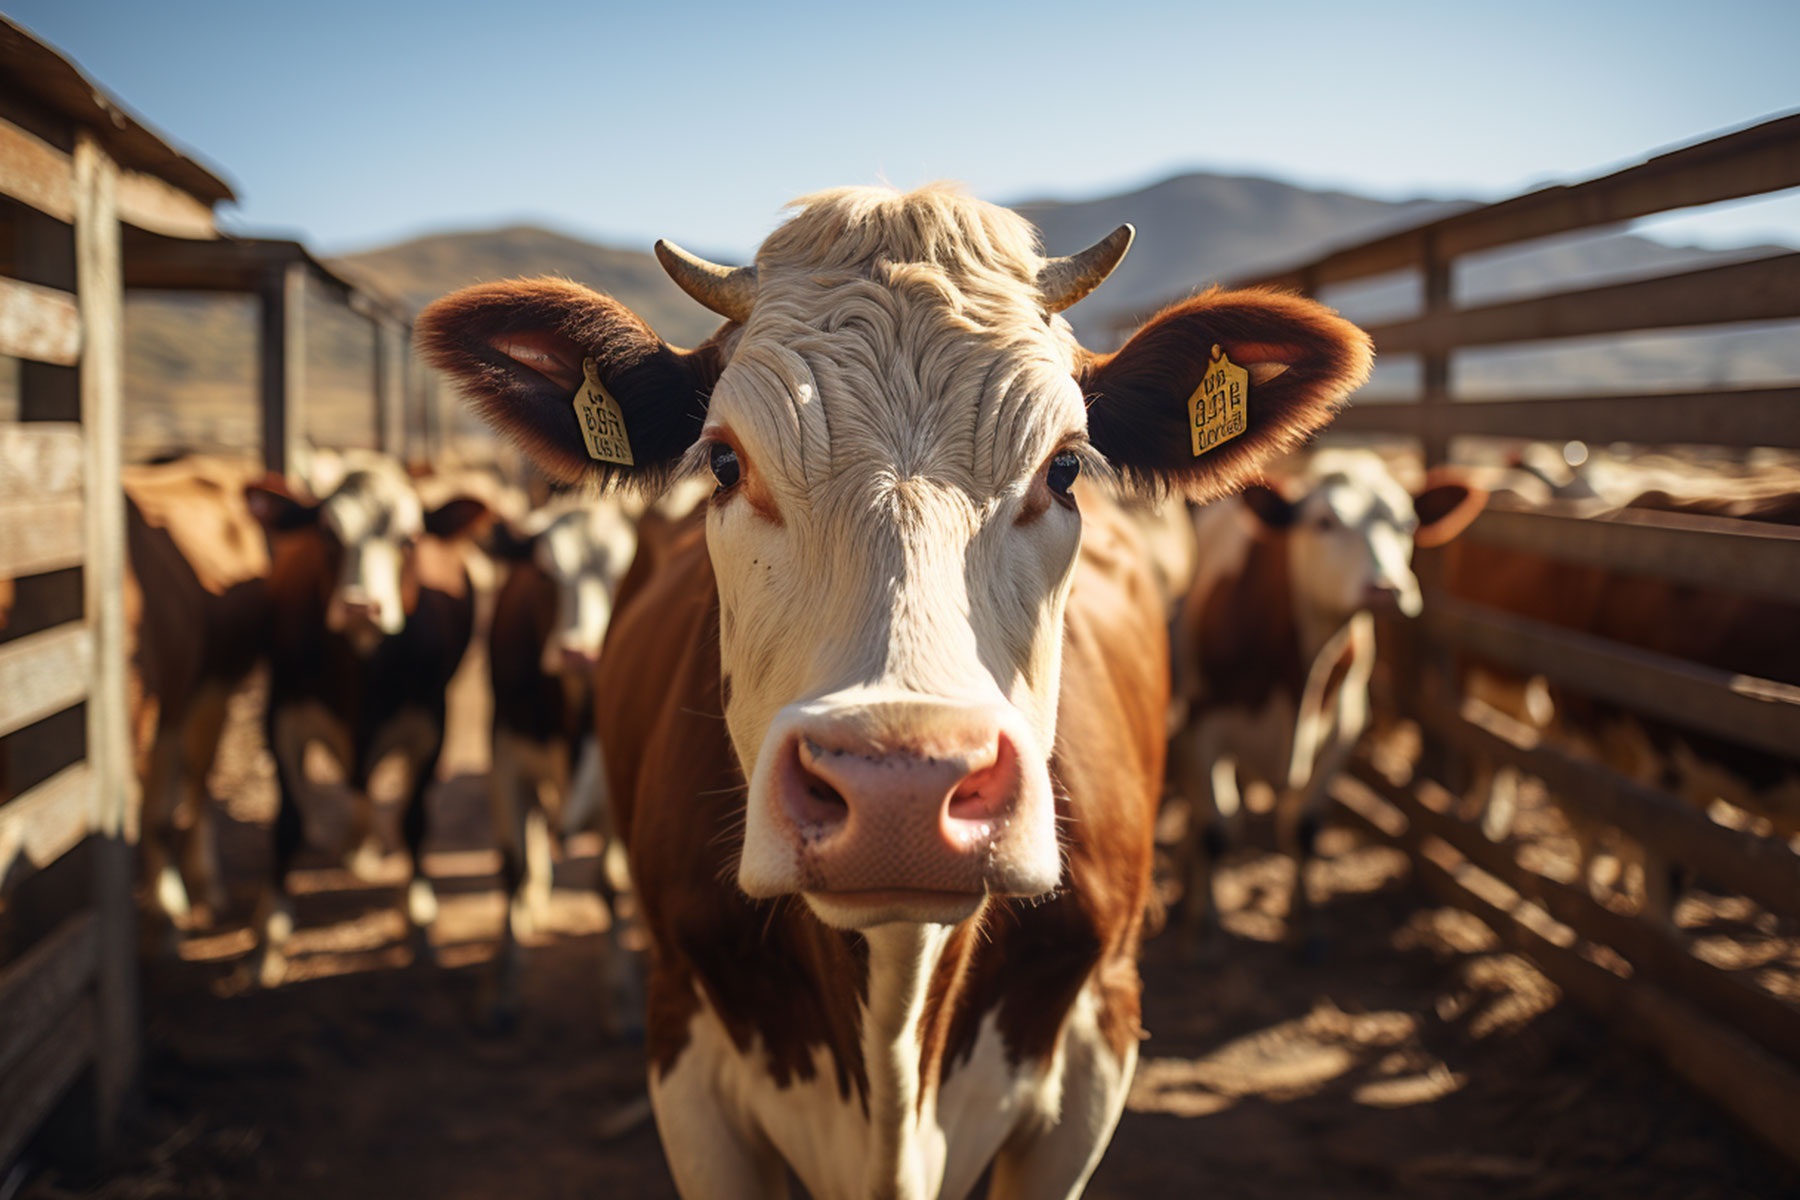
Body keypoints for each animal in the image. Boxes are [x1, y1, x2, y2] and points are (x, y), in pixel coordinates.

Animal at [246, 455, 489, 993]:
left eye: (410, 538)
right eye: (328, 532)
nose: (361, 605)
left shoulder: (432, 721)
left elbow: (414, 820)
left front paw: (418, 918)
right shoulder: (281, 715)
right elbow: (288, 824)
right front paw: (271, 935)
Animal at [1159, 449, 1483, 957]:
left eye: (1408, 523)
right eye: (1323, 522)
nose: (1387, 590)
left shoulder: (1342, 732)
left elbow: (1304, 830)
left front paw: (1305, 927)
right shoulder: (1199, 727)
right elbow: (1216, 830)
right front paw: (1203, 932)